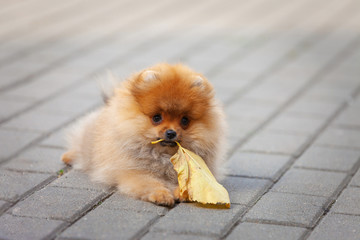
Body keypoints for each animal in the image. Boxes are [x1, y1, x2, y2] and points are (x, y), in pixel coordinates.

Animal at [61, 62, 225, 205]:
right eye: (157, 118)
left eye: (184, 120)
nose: (171, 132)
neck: (164, 156)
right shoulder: (135, 173)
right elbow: (150, 183)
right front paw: (161, 195)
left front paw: (182, 192)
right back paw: (68, 156)